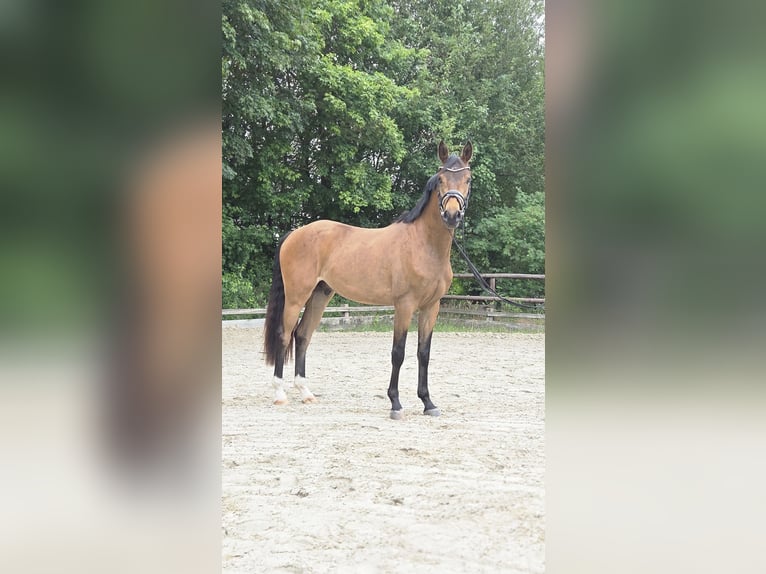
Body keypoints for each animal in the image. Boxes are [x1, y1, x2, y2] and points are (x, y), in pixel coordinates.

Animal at [263, 140, 473, 419]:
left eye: (468, 179)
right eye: (440, 179)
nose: (451, 215)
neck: (423, 244)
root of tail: (294, 234)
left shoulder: (431, 306)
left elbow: (423, 353)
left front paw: (428, 403)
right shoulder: (404, 305)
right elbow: (398, 353)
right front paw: (395, 404)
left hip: (320, 294)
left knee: (303, 335)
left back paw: (306, 393)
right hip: (297, 297)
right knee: (284, 335)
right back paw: (279, 394)